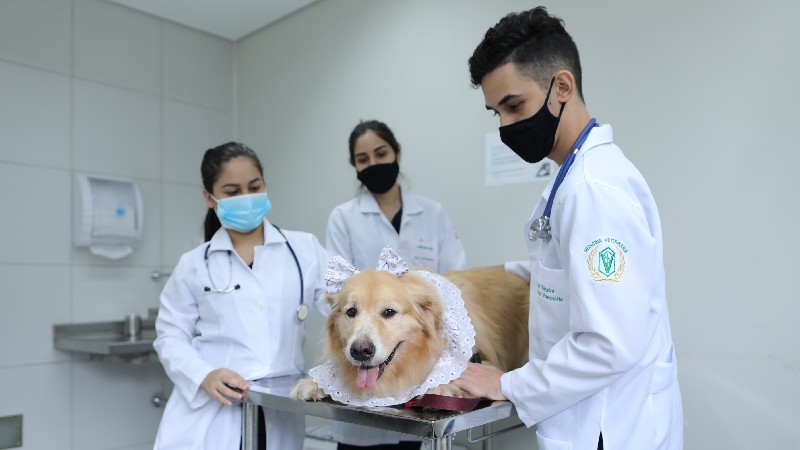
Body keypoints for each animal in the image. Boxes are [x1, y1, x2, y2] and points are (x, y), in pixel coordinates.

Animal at [290, 268, 528, 404]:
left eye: (389, 312)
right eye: (351, 312)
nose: (360, 351)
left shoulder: (484, 360)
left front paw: (441, 386)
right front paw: (312, 383)